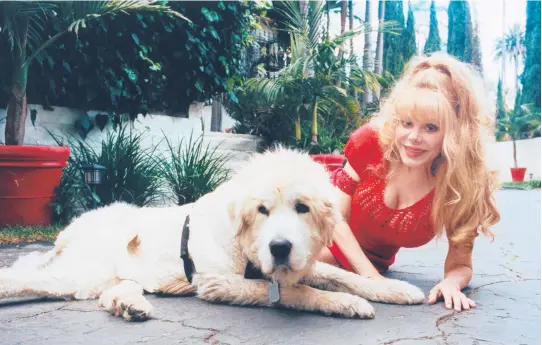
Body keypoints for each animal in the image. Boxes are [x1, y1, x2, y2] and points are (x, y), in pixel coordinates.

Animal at [0, 147, 424, 320]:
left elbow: (341, 275)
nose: (279, 247)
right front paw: (346, 304)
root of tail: (70, 230)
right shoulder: (221, 283)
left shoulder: (300, 262)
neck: (246, 245)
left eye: (302, 208)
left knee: (115, 291)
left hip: (115, 277)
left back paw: (130, 306)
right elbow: (298, 293)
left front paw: (393, 289)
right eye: (262, 210)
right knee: (19, 278)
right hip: (73, 273)